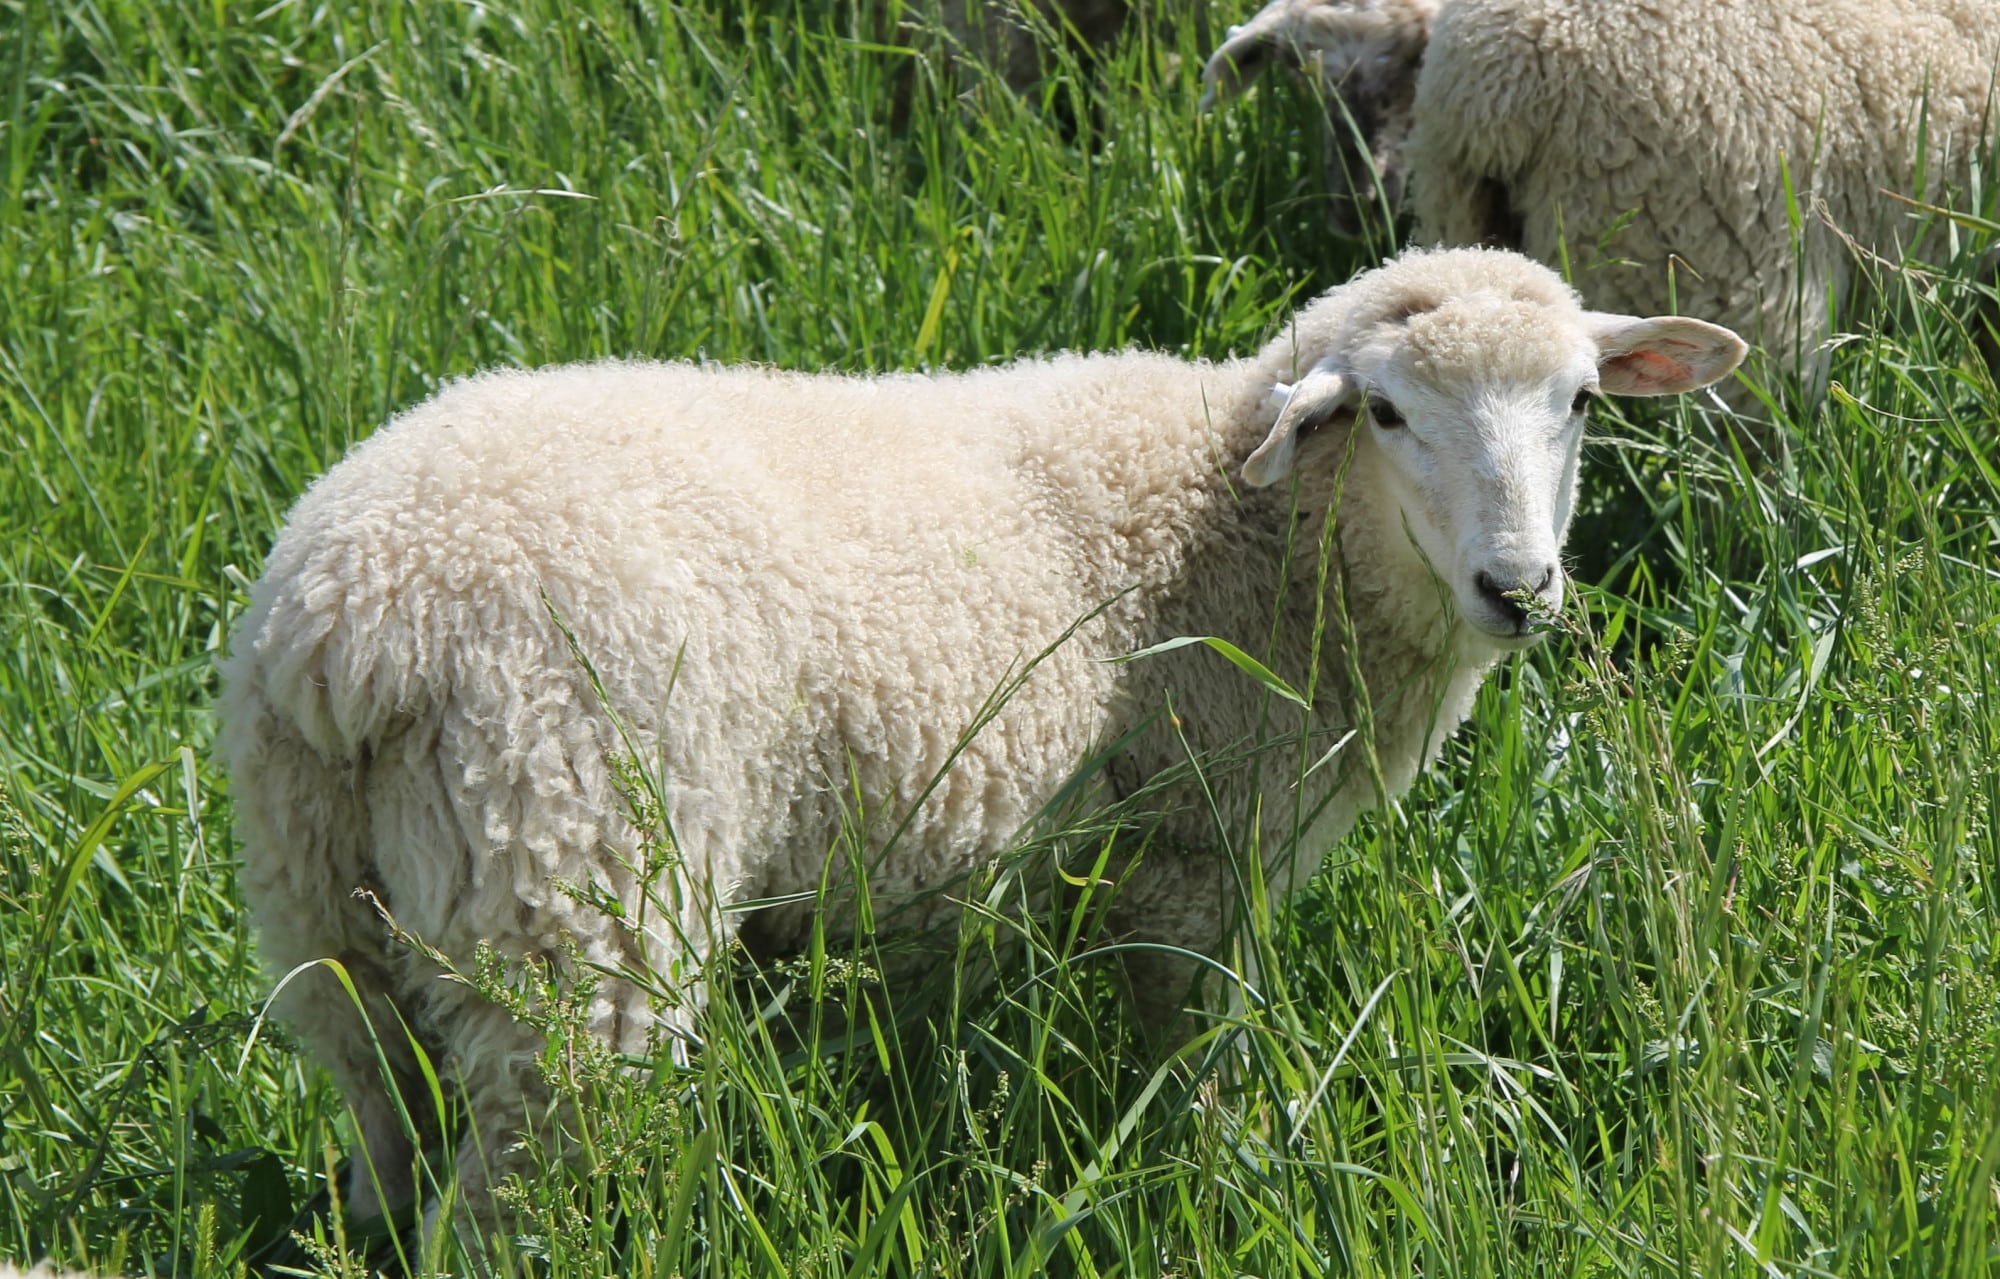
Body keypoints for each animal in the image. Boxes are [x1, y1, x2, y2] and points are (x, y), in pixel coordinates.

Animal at [218, 246, 1745, 1225]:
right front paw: (1211, 1175)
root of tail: (355, 618)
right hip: (573, 895)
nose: (1520, 589)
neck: (1241, 520)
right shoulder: (1190, 858)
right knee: (513, 1198)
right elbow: (1190, 1061)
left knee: (386, 1150)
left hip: (326, 916)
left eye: (1581, 402)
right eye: (1384, 411)